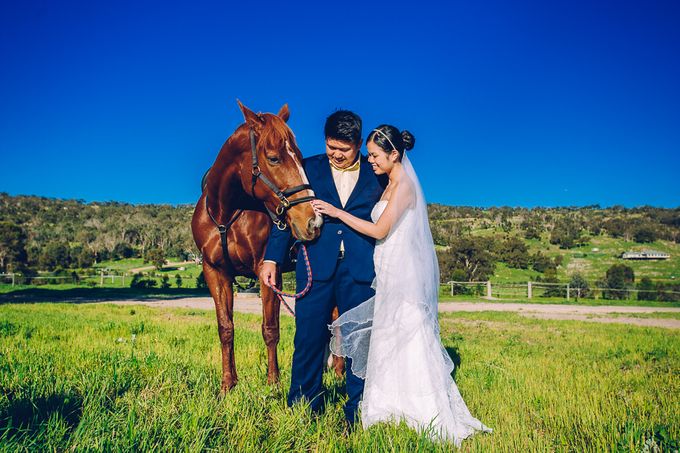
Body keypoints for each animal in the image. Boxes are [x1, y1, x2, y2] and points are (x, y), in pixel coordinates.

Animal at [190, 100, 320, 390]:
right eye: (273, 158)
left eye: (299, 157)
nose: (312, 221)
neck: (228, 213)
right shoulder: (215, 272)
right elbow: (226, 328)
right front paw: (228, 384)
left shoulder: (268, 271)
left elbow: (270, 328)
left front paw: (273, 384)